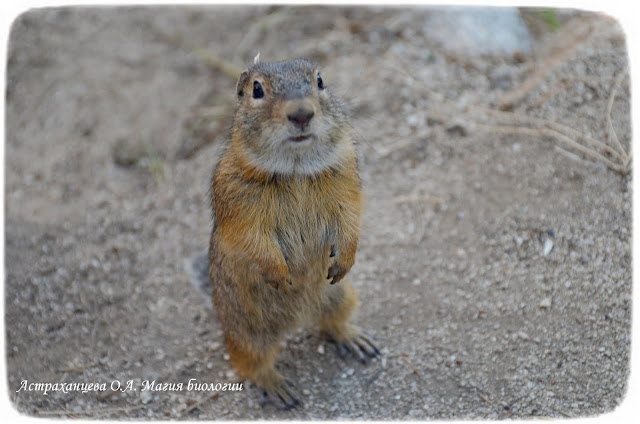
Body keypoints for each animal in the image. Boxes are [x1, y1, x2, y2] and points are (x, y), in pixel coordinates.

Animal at [209, 58, 380, 410]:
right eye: (256, 89)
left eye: (320, 80)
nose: (301, 113)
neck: (296, 170)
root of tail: (297, 321)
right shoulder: (239, 203)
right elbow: (255, 241)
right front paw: (282, 277)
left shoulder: (345, 179)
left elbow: (351, 219)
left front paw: (343, 261)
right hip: (248, 331)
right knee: (249, 363)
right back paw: (279, 389)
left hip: (341, 296)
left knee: (331, 322)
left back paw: (357, 340)